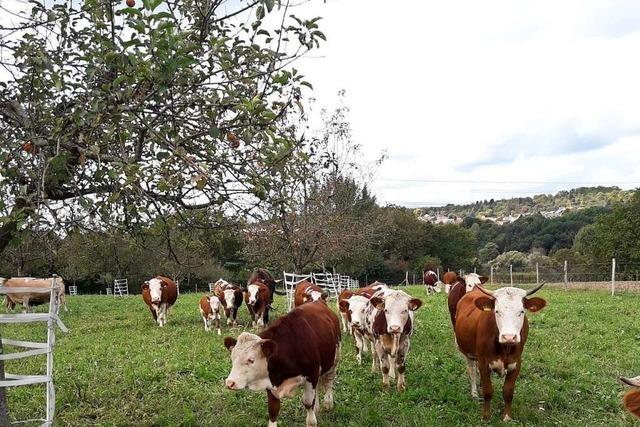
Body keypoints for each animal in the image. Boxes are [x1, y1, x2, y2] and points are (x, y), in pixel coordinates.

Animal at [456, 284, 544, 422]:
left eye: (521, 311)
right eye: (497, 311)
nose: (509, 337)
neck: (505, 348)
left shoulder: (516, 364)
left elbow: (508, 391)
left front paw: (507, 416)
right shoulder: (483, 363)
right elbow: (488, 391)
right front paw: (486, 416)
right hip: (468, 353)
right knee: (472, 371)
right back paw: (474, 393)